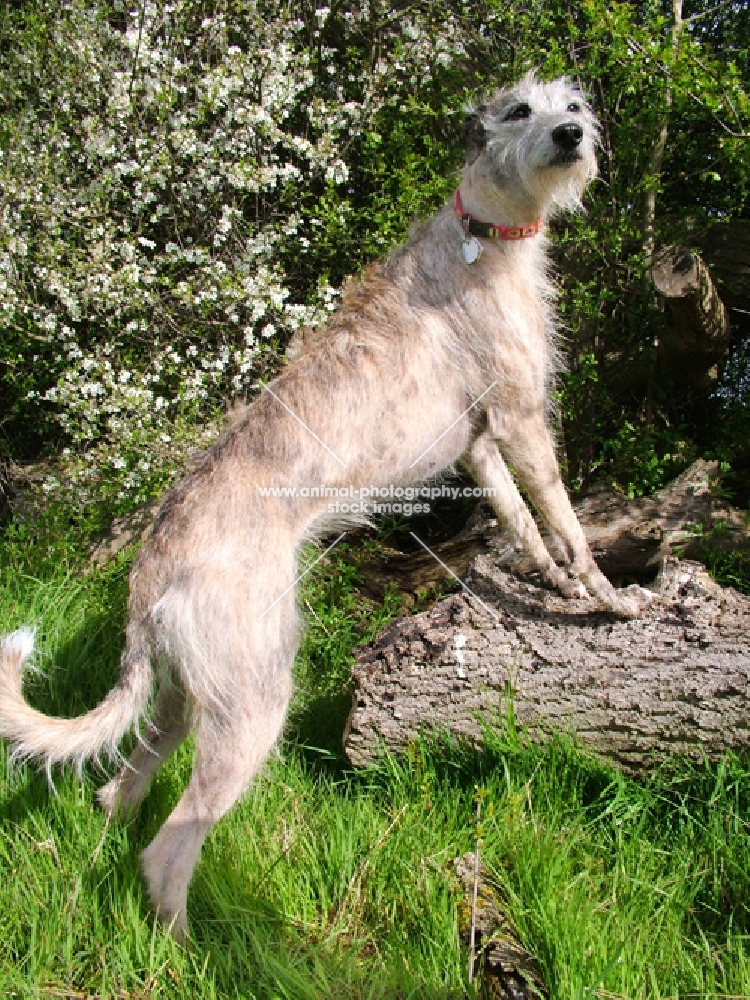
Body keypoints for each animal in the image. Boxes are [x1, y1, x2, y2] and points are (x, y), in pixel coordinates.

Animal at [0, 74, 652, 940]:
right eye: (521, 111)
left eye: (570, 104)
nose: (572, 136)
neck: (483, 232)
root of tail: (151, 569)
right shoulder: (520, 421)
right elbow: (571, 526)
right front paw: (609, 598)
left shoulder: (481, 446)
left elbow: (525, 525)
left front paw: (549, 582)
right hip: (254, 699)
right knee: (168, 848)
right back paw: (191, 948)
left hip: (184, 698)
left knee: (117, 792)